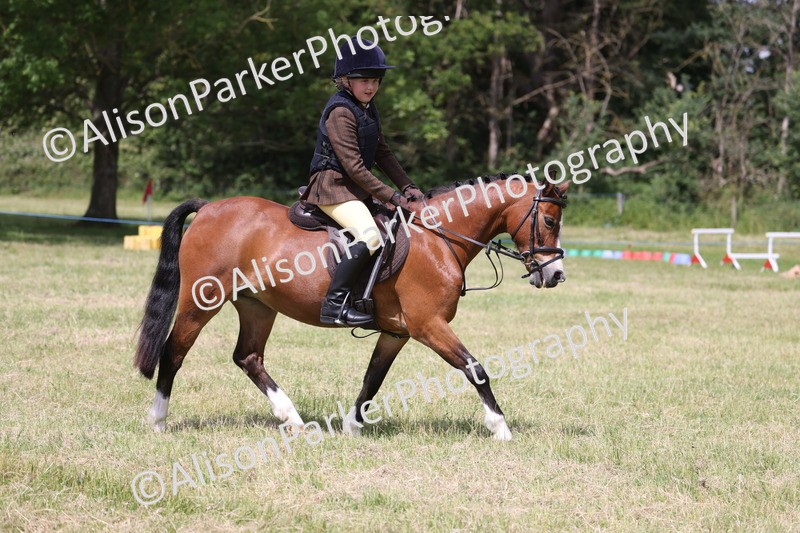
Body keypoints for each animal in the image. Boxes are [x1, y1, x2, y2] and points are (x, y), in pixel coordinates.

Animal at [134, 174, 568, 440]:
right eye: (549, 221)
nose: (555, 275)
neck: (438, 237)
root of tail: (209, 208)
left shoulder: (397, 332)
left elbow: (372, 379)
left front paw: (351, 427)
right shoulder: (429, 326)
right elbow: (475, 368)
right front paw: (500, 427)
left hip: (258, 306)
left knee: (248, 357)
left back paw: (293, 419)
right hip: (200, 302)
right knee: (174, 351)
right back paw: (157, 420)